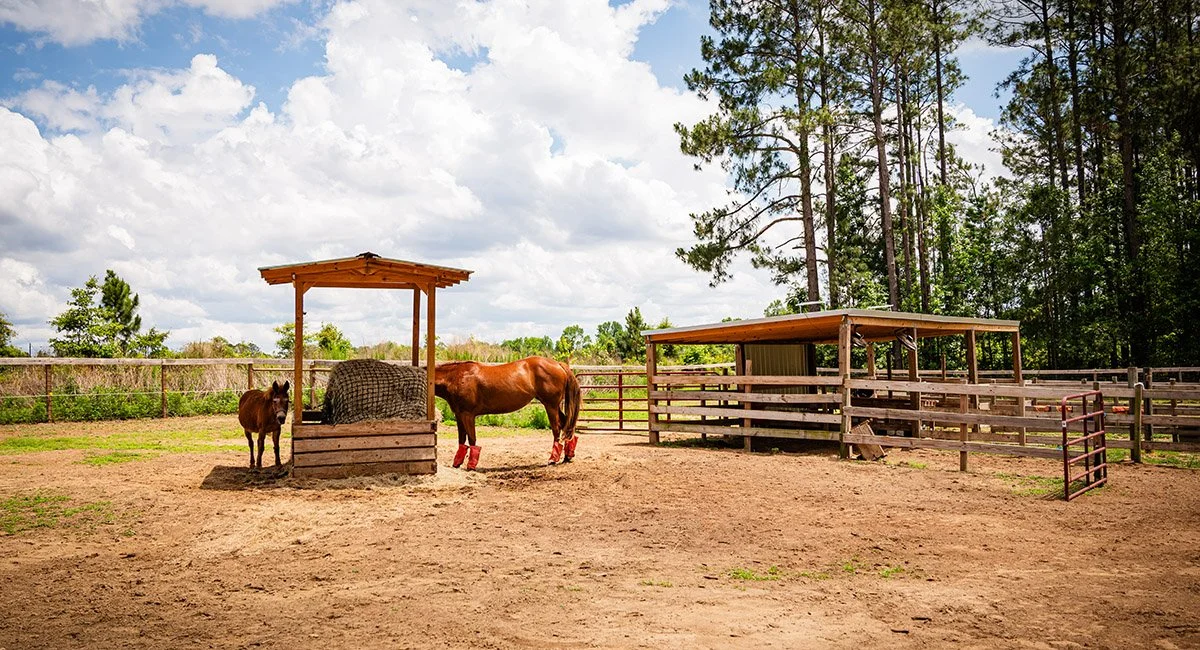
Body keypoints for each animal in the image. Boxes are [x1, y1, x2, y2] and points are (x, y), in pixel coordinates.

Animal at [435, 356, 581, 470]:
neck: (457, 377)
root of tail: (558, 364)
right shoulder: (459, 415)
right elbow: (461, 440)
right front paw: (457, 463)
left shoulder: (468, 415)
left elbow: (472, 439)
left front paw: (471, 466)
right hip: (554, 406)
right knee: (566, 425)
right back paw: (567, 456)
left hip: (551, 406)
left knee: (557, 429)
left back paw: (553, 459)